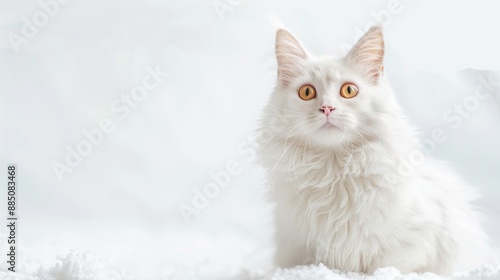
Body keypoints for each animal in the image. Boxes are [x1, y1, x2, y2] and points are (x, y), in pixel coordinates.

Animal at [260, 26, 498, 276]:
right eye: (307, 92)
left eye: (349, 90)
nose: (327, 108)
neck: (334, 171)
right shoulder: (297, 250)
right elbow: (310, 265)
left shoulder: (418, 243)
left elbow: (385, 268)